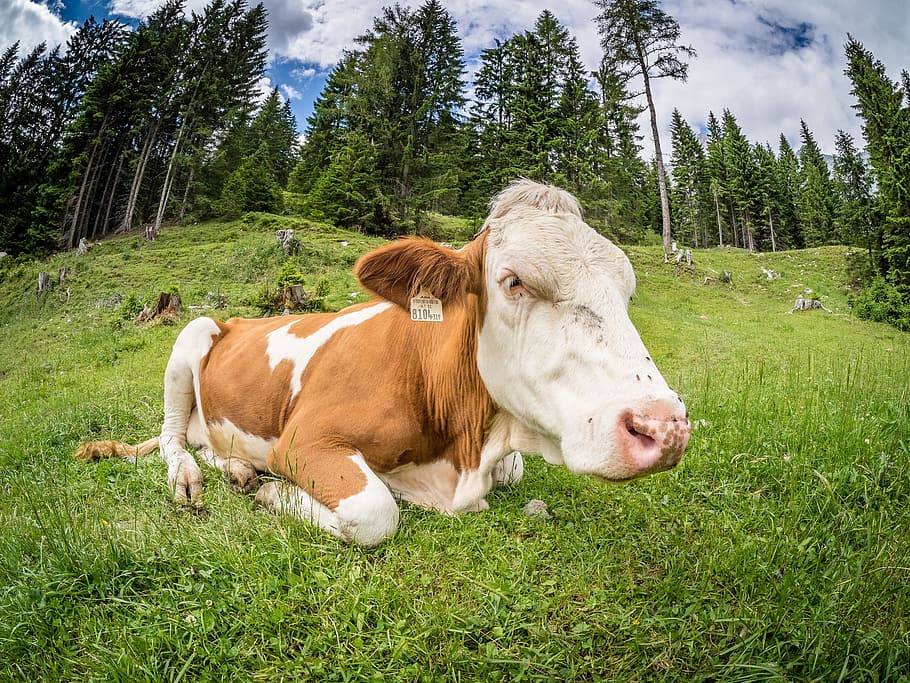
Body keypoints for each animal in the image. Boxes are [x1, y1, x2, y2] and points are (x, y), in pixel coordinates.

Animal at [76, 180, 691, 546]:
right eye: (514, 280)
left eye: (626, 292)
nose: (663, 426)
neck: (463, 452)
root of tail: (241, 320)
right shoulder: (303, 441)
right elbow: (376, 510)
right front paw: (277, 494)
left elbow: (515, 473)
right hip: (193, 333)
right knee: (173, 437)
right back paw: (198, 476)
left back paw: (238, 469)